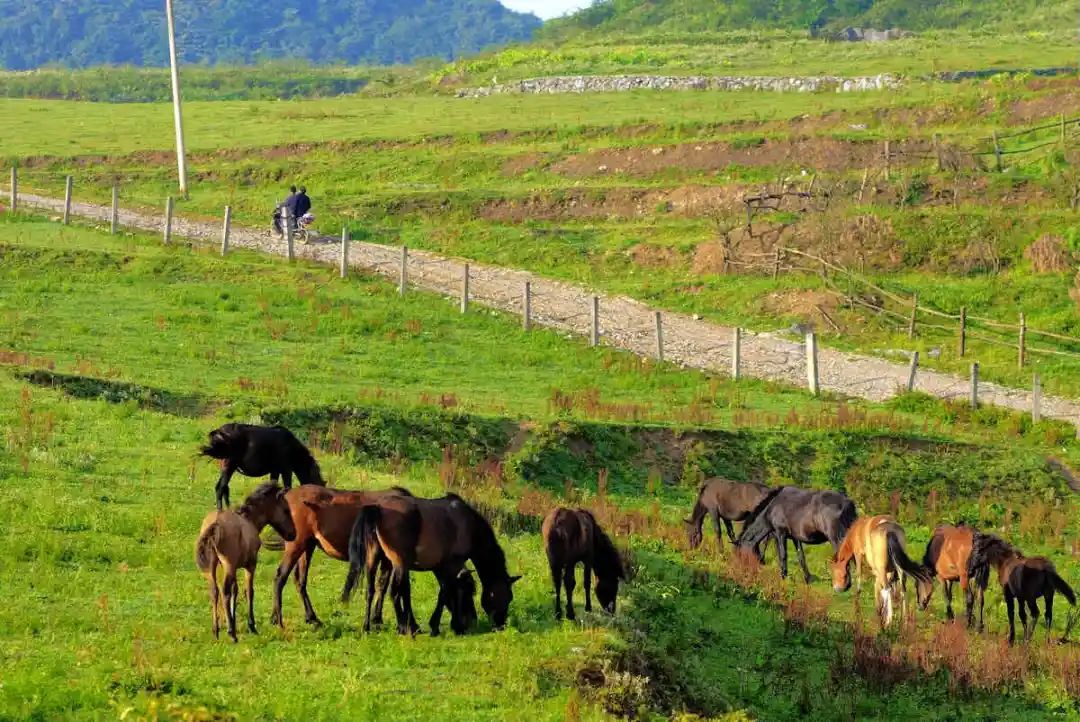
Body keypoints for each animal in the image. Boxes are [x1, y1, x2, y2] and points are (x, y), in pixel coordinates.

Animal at [194, 481, 293, 638]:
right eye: (286, 510)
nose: (292, 534)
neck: (249, 520)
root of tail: (215, 524)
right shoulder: (250, 565)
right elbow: (249, 591)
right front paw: (251, 626)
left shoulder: (233, 567)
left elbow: (236, 590)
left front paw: (234, 620)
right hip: (228, 565)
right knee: (224, 591)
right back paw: (231, 633)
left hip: (212, 566)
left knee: (214, 591)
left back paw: (216, 630)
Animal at [341, 489, 518, 634]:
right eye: (506, 596)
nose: (501, 625)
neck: (468, 525)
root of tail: (377, 508)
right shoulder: (451, 565)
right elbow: (447, 591)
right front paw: (440, 625)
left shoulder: (441, 567)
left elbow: (448, 590)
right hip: (399, 563)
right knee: (394, 592)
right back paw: (403, 627)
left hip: (375, 559)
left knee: (372, 590)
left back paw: (368, 626)